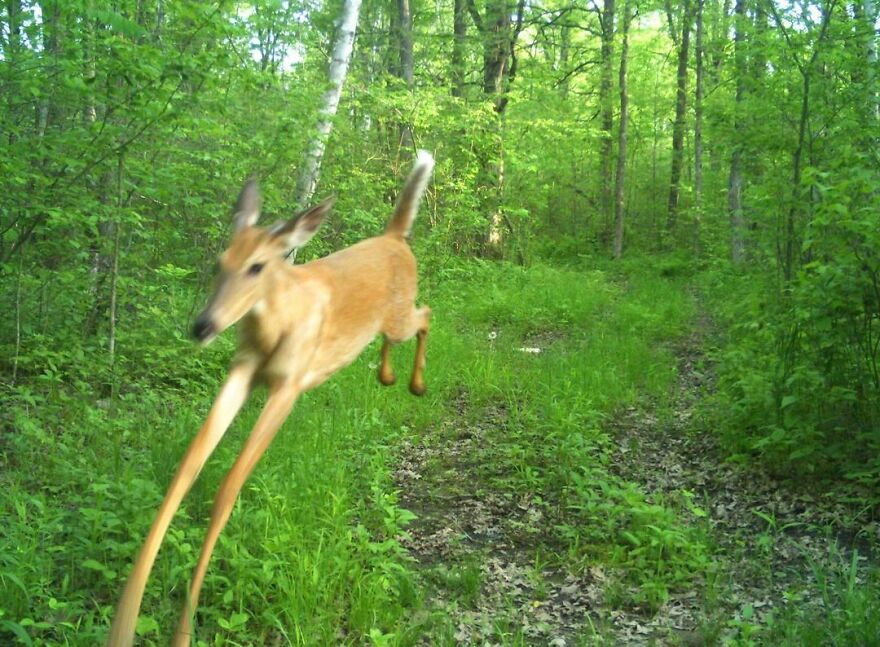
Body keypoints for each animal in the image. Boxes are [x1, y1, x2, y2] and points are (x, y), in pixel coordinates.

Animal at [105, 152, 434, 647]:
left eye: (258, 267)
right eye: (219, 262)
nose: (202, 326)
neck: (276, 325)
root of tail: (394, 237)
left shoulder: (289, 386)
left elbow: (227, 488)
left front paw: (183, 633)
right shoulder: (242, 371)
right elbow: (185, 472)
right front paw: (123, 625)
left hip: (398, 316)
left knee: (427, 315)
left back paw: (413, 384)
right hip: (386, 323)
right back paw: (387, 375)